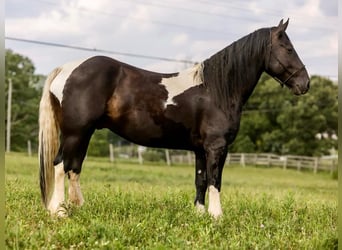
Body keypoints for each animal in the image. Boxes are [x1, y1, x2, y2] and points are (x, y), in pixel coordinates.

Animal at [38, 19, 310, 219]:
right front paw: (217, 215)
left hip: (84, 133)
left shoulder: (200, 149)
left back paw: (78, 206)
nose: (305, 84)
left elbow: (201, 180)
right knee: (60, 165)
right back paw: (59, 211)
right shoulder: (216, 147)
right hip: (75, 133)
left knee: (74, 167)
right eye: (288, 49)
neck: (216, 90)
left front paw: (200, 214)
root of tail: (66, 69)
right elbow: (215, 179)